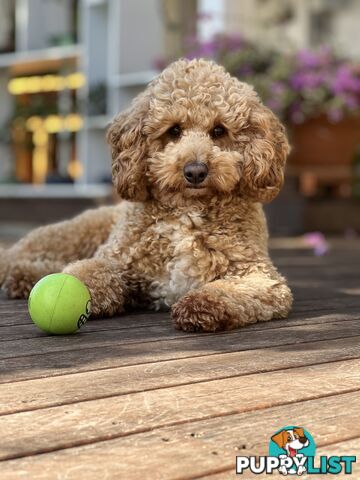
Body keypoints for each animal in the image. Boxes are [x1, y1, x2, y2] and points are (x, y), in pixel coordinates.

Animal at [0, 58, 292, 332]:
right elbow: (88, 272)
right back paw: (21, 272)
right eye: (174, 130)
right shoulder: (115, 258)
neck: (187, 211)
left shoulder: (259, 275)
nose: (195, 171)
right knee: (22, 255)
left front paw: (202, 304)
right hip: (72, 234)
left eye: (219, 130)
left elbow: (236, 290)